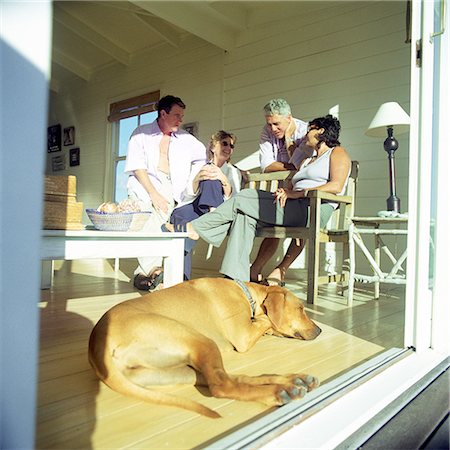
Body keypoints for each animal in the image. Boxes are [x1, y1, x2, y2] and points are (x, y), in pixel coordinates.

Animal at [88, 278, 320, 418]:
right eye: (301, 308)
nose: (319, 331)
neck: (247, 294)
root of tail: (96, 344)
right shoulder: (243, 337)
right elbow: (265, 322)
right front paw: (269, 324)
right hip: (199, 340)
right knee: (223, 385)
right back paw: (279, 391)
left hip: (172, 371)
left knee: (232, 378)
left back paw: (293, 381)